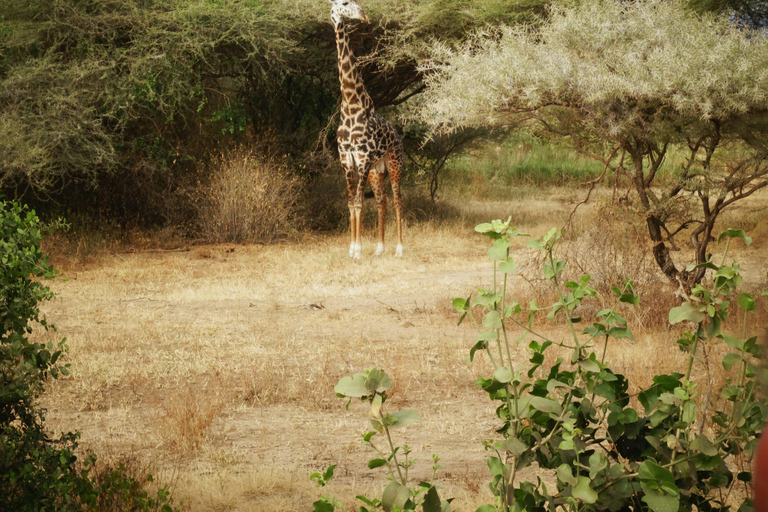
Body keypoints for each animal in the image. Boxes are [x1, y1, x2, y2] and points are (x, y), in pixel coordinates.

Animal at [328, 0, 404, 258]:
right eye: (344, 3)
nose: (363, 15)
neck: (351, 105)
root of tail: (398, 135)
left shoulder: (361, 158)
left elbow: (359, 202)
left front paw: (358, 250)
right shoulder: (346, 159)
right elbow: (351, 202)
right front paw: (351, 249)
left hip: (394, 163)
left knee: (398, 199)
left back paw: (399, 248)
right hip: (375, 170)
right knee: (382, 200)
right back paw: (380, 248)